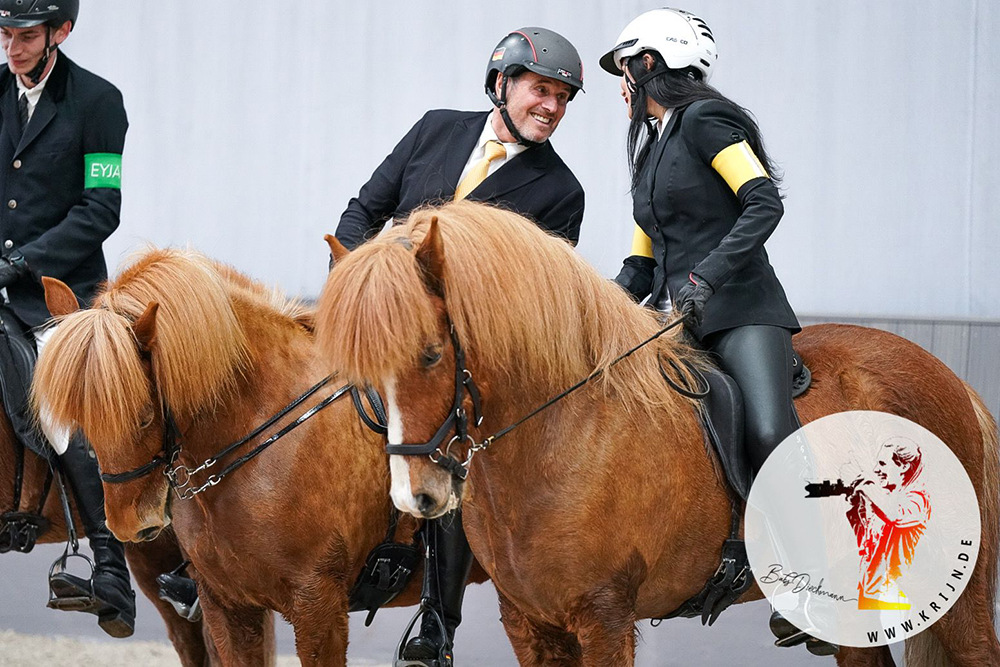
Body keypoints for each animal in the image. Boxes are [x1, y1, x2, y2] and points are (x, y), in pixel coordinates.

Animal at [314, 200, 1000, 667]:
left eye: (431, 355)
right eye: (358, 371)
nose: (417, 497)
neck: (561, 435)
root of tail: (950, 378)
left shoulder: (605, 617)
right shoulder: (531, 624)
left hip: (958, 588)